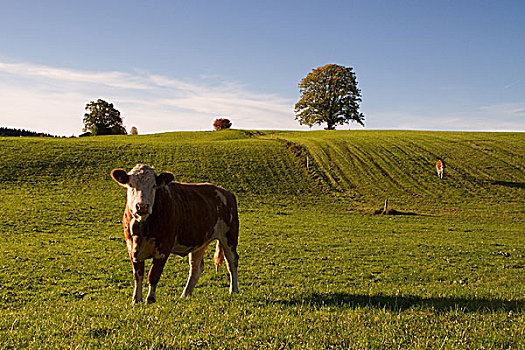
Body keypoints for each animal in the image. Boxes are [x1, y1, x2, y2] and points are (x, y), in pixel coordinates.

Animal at [112, 164, 242, 304]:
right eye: (131, 185)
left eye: (154, 185)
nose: (142, 206)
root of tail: (225, 191)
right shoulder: (132, 248)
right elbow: (138, 275)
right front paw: (136, 299)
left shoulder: (163, 248)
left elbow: (153, 275)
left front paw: (150, 299)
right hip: (200, 242)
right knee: (196, 268)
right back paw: (185, 294)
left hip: (229, 236)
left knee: (232, 261)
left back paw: (234, 289)